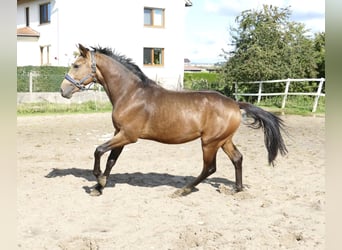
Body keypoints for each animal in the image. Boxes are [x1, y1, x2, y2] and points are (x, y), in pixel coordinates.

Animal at [60, 44, 288, 197]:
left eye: (76, 65)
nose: (63, 90)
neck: (131, 94)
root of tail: (235, 103)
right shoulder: (120, 133)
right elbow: (111, 160)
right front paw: (99, 187)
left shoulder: (128, 136)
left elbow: (99, 150)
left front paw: (97, 177)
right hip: (224, 140)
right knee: (237, 158)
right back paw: (237, 189)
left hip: (210, 142)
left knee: (210, 168)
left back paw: (183, 190)